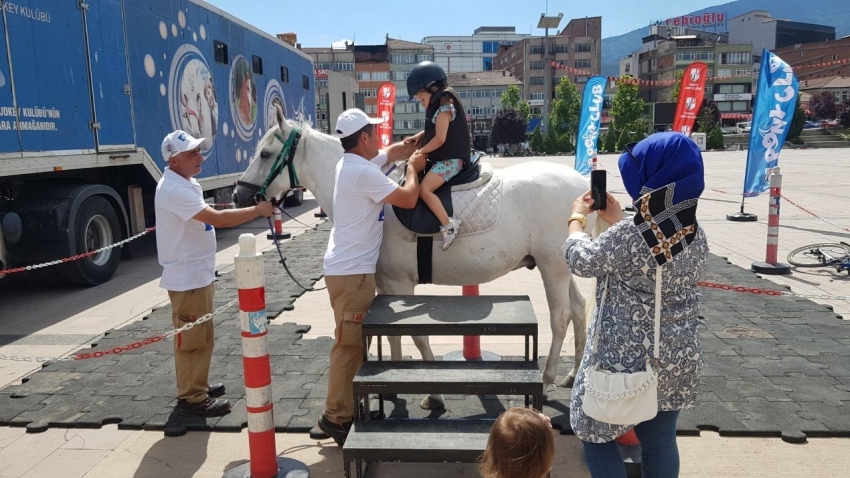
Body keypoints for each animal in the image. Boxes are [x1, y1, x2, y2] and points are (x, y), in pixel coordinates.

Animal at [230, 105, 588, 408]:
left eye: (265, 154)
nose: (238, 195)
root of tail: (581, 184)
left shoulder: (399, 282)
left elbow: (415, 334)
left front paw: (433, 394)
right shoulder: (386, 286)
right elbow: (393, 333)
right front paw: (393, 388)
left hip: (552, 268)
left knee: (560, 318)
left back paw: (548, 378)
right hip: (560, 268)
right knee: (579, 309)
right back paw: (572, 375)